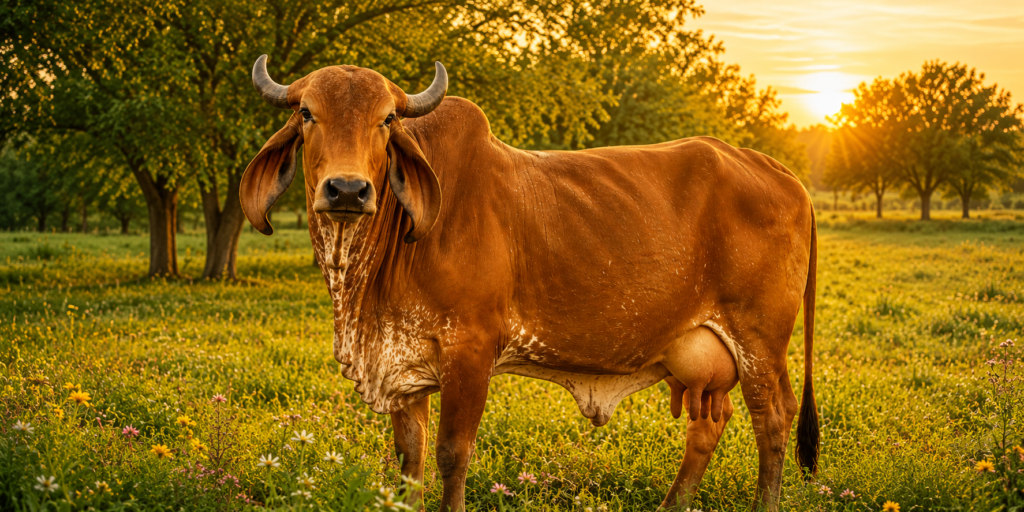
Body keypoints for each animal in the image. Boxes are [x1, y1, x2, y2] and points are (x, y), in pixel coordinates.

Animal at [240, 55, 819, 511]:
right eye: (306, 113)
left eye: (386, 120)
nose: (346, 189)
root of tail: (783, 172)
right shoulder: (403, 365)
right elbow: (411, 459)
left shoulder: (471, 351)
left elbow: (451, 454)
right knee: (709, 425)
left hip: (760, 341)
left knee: (773, 420)